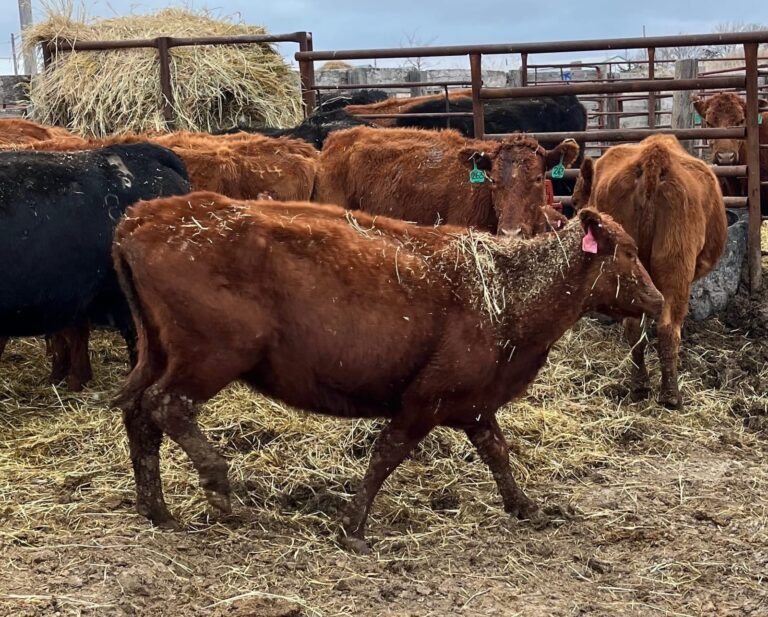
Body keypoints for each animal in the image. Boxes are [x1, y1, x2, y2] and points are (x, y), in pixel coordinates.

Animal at [112, 191, 663, 552]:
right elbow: (386, 455)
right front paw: (353, 528)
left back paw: (156, 509)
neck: (505, 290)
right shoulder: (425, 401)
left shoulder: (473, 404)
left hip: (158, 353)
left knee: (139, 413)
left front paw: (525, 506)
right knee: (166, 406)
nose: (658, 300)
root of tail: (140, 217)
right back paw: (218, 485)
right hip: (211, 357)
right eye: (628, 252)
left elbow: (497, 452)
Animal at [571, 135, 727, 409]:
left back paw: (640, 387)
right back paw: (671, 396)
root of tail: (653, 159)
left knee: (634, 328)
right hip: (676, 265)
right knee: (668, 329)